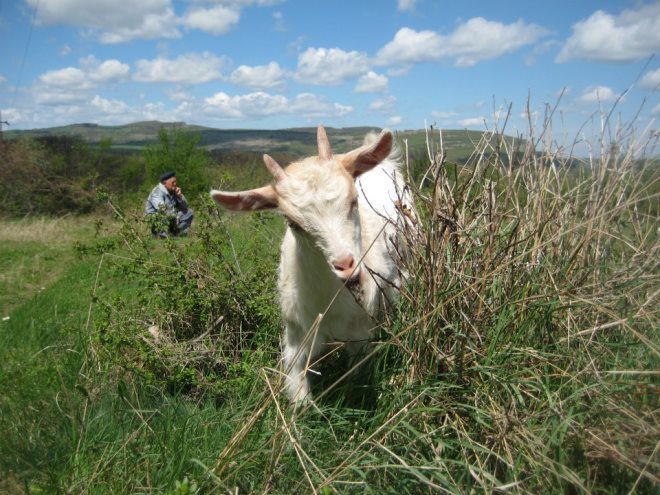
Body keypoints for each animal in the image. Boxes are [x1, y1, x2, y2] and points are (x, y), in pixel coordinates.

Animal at [211, 126, 410, 402]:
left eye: (354, 200)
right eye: (293, 223)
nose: (347, 266)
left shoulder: (359, 335)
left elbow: (358, 378)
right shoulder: (297, 335)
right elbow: (298, 390)